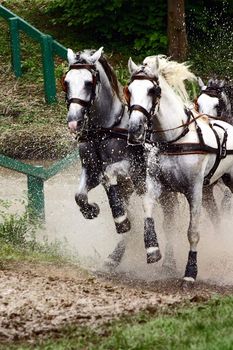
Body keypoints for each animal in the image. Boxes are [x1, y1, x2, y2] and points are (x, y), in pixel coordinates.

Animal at [125, 55, 233, 284]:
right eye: (129, 89)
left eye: (153, 90)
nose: (134, 129)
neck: (175, 140)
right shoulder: (160, 187)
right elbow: (152, 212)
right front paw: (155, 251)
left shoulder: (194, 190)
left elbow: (193, 232)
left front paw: (190, 272)